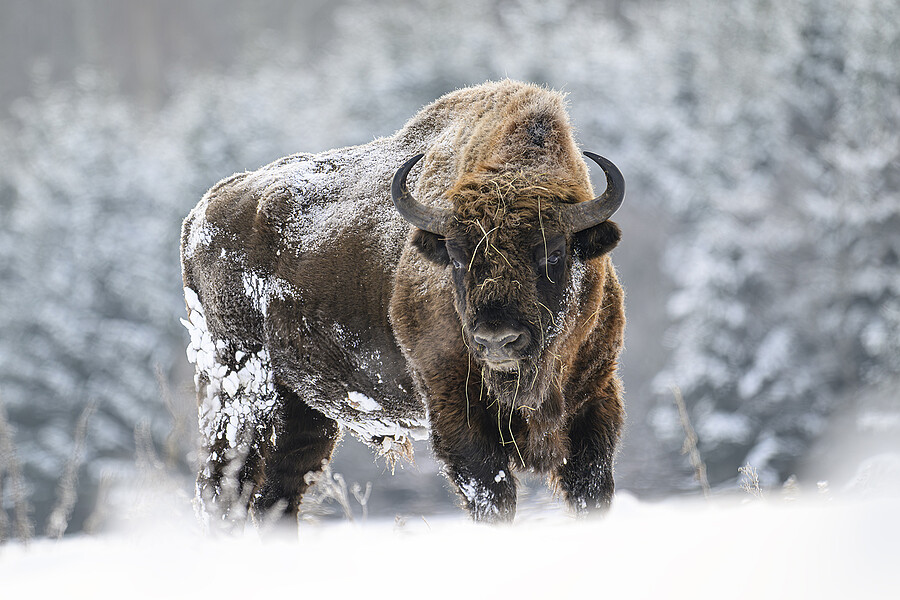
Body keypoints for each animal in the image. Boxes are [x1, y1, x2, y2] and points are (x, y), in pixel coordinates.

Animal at [181, 80, 626, 523]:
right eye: (458, 256)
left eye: (553, 253)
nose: (498, 340)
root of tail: (202, 212)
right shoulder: (457, 415)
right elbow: (493, 496)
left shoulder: (593, 404)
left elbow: (591, 490)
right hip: (236, 391)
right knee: (222, 489)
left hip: (304, 410)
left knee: (275, 495)